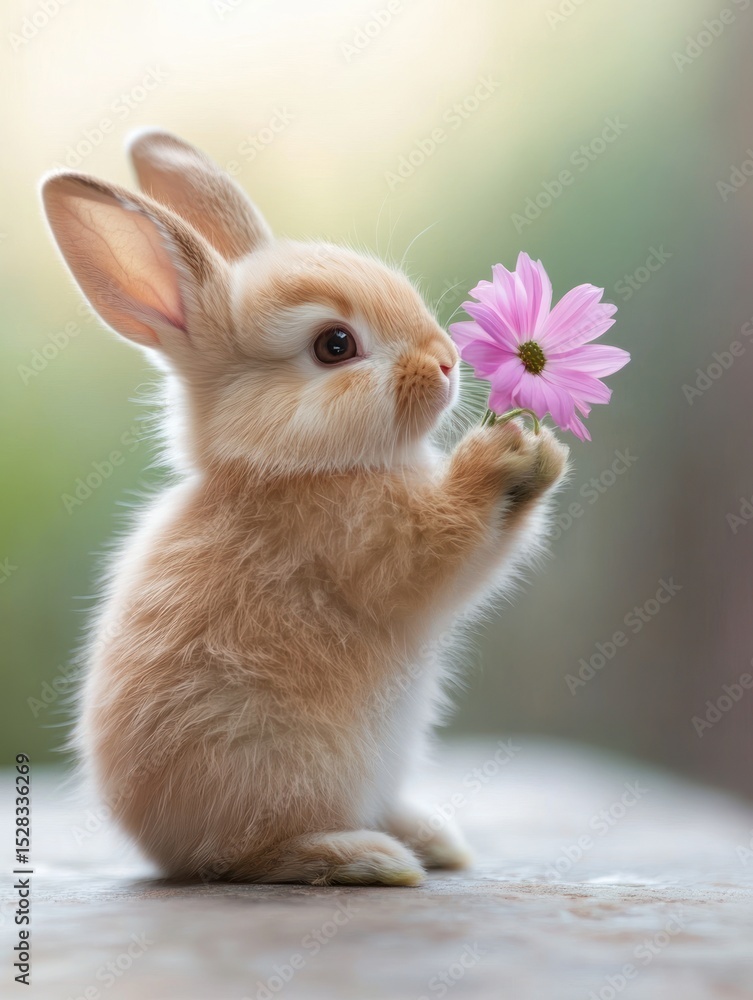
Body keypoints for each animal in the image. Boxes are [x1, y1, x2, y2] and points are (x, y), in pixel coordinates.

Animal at [41, 129, 568, 885]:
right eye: (334, 345)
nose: (444, 361)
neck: (290, 468)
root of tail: (160, 848)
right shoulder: (373, 545)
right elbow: (446, 550)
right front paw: (508, 457)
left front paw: (542, 445)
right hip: (279, 772)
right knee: (246, 856)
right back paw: (371, 858)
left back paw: (430, 838)